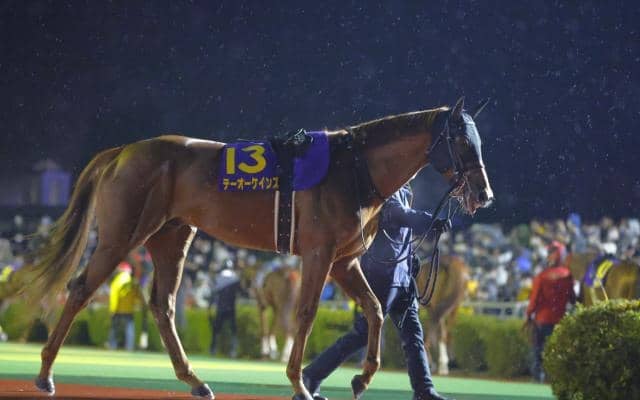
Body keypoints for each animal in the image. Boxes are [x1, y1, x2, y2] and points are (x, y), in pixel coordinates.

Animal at [6, 97, 493, 399]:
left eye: (479, 140)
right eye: (461, 140)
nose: (483, 194)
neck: (355, 167)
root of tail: (122, 151)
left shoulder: (344, 260)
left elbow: (374, 309)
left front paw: (361, 377)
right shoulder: (319, 254)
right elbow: (305, 313)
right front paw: (299, 383)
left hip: (172, 236)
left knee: (162, 303)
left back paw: (195, 379)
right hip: (121, 234)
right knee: (80, 289)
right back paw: (45, 374)